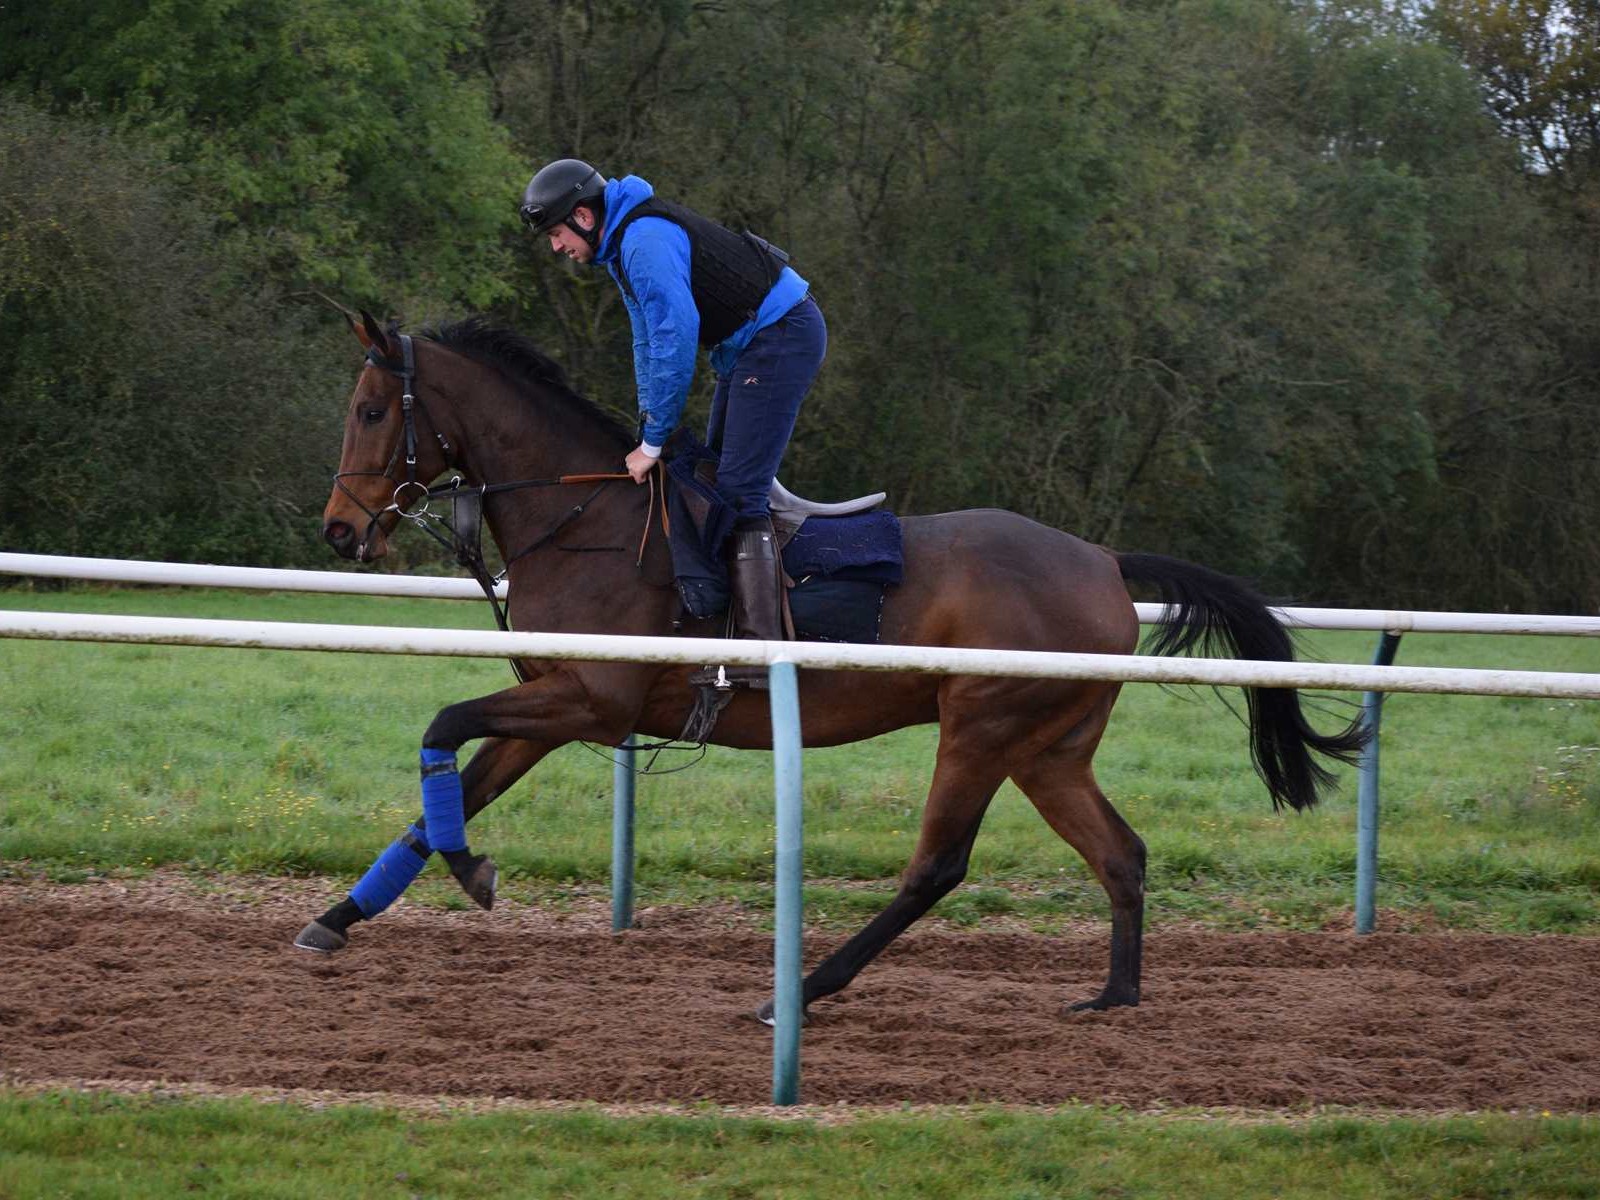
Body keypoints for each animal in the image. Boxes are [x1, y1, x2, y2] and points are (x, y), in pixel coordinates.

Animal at [302, 310, 1366, 1016]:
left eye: (368, 410)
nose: (341, 530)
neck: (586, 516)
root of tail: (1104, 559)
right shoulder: (557, 704)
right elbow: (453, 786)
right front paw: (343, 914)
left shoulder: (590, 702)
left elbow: (442, 727)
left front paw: (467, 870)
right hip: (1048, 745)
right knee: (1121, 853)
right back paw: (1112, 996)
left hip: (982, 724)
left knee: (938, 867)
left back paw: (801, 989)